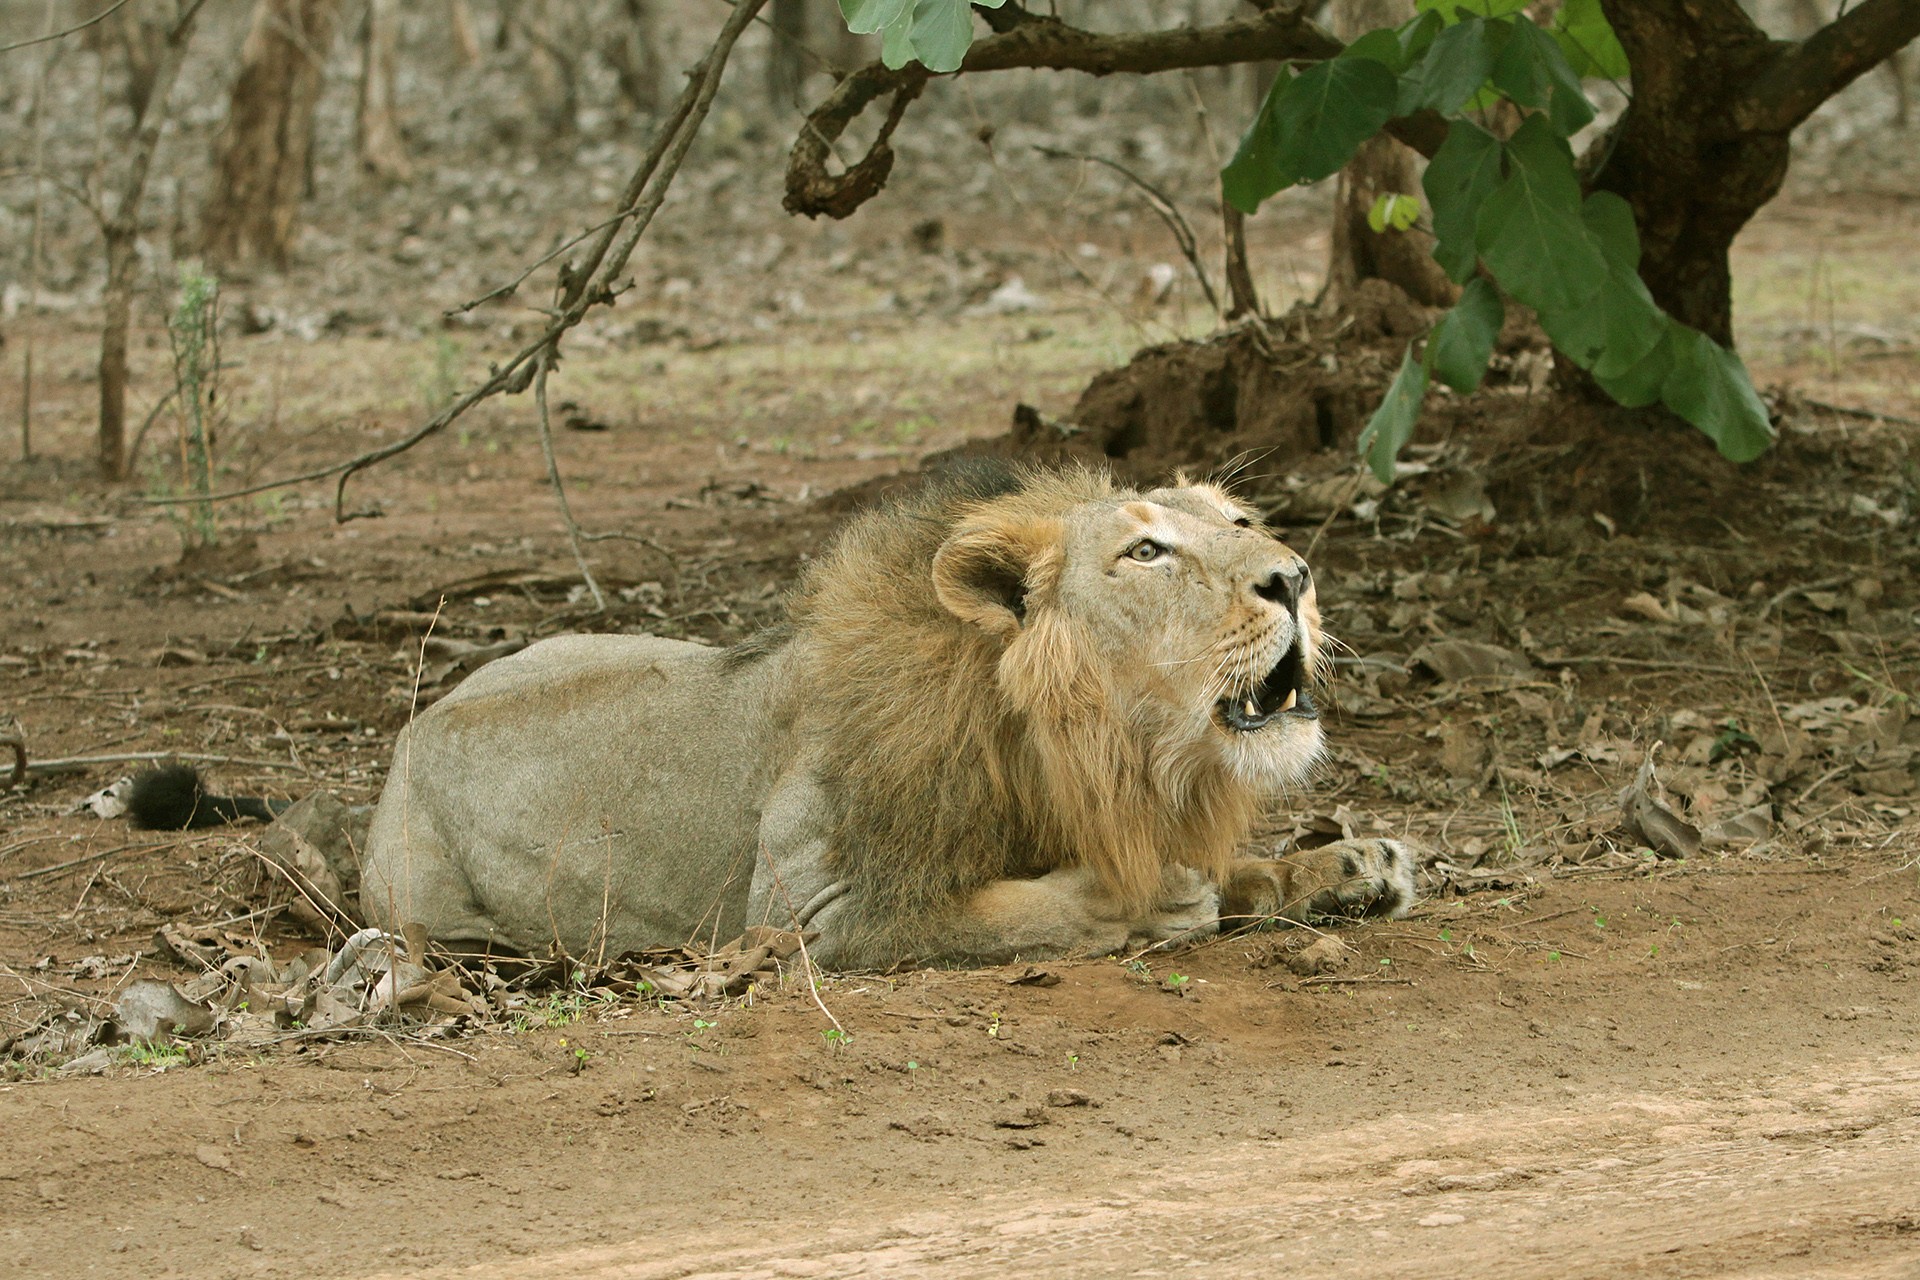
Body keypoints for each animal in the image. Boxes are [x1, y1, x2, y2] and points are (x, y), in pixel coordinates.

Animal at [357, 462, 1415, 968]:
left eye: (1238, 523)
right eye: (1146, 554)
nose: (1296, 577)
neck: (1085, 743)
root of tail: (413, 728)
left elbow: (1240, 871)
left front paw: (1346, 866)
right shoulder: (810, 914)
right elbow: (1016, 910)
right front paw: (1156, 897)